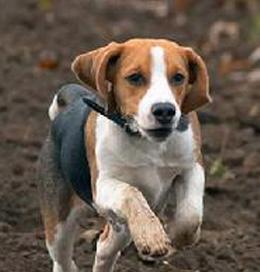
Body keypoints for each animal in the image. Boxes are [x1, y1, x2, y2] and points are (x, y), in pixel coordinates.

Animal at [37, 38, 210, 272]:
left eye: (178, 77)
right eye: (134, 77)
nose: (165, 110)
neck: (146, 141)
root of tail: (73, 102)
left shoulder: (192, 166)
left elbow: (190, 217)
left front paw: (174, 237)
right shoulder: (103, 186)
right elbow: (130, 191)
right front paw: (152, 236)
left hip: (119, 228)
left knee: (105, 246)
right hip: (58, 224)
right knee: (63, 257)